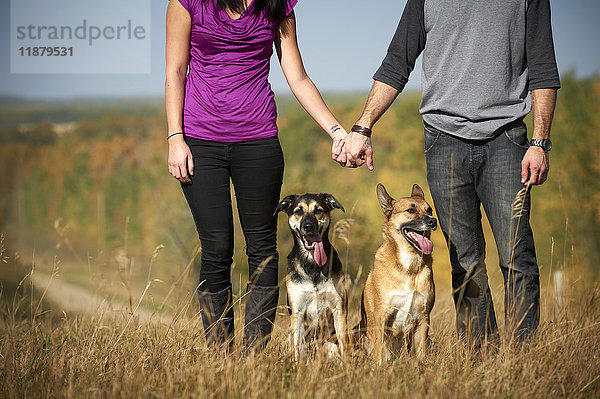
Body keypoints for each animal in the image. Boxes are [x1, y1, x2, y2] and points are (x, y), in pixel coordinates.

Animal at [276, 195, 346, 362]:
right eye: (298, 211)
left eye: (318, 210)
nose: (308, 226)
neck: (312, 263)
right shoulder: (298, 311)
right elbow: (297, 347)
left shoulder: (338, 308)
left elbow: (345, 346)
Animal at [358, 184, 438, 362]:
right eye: (410, 210)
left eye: (429, 209)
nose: (433, 221)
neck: (409, 264)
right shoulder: (381, 317)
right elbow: (379, 356)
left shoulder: (424, 318)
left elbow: (421, 354)